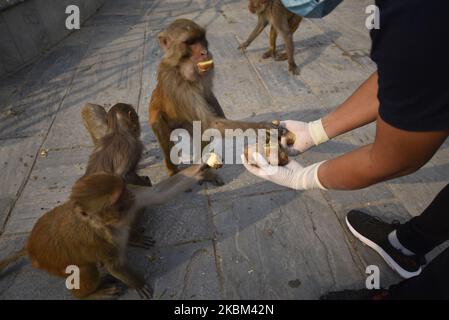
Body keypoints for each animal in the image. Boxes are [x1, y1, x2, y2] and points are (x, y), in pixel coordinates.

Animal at [149, 18, 278, 182]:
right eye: (190, 42)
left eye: (201, 39)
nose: (205, 52)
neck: (181, 68)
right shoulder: (174, 82)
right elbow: (212, 123)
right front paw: (262, 127)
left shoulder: (205, 73)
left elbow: (209, 102)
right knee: (162, 128)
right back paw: (175, 173)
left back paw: (203, 169)